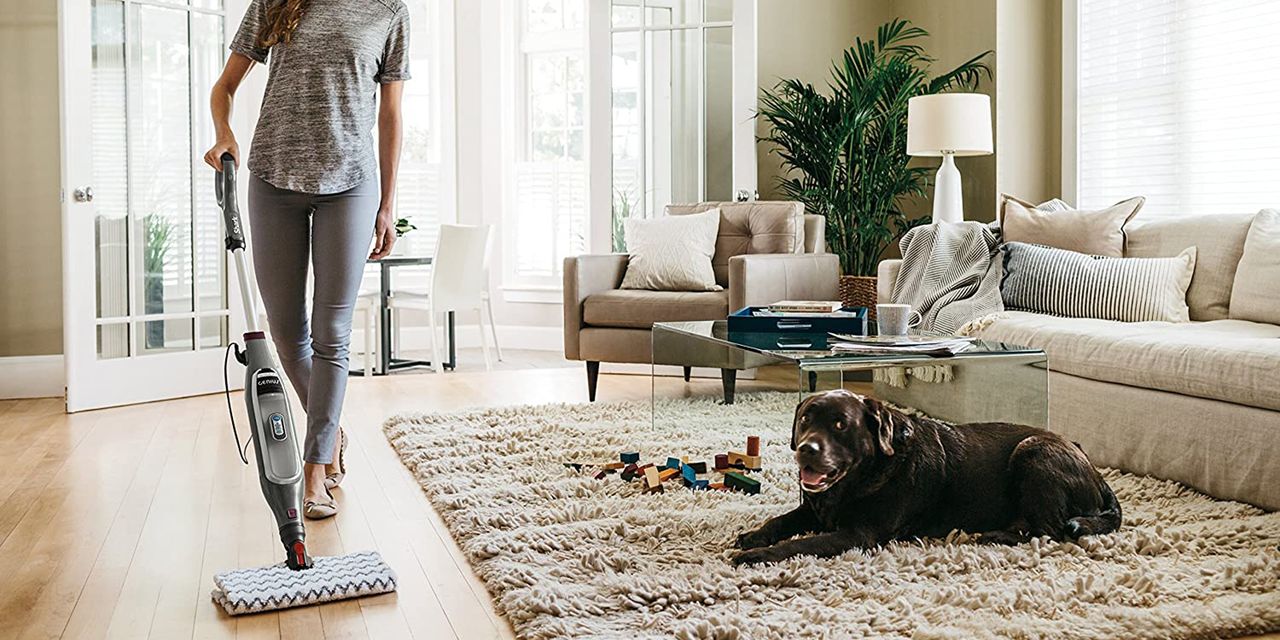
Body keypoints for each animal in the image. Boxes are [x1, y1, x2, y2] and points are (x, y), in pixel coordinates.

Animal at [732, 389, 1121, 565]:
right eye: (805, 420)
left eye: (840, 424)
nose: (806, 449)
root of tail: (1096, 472)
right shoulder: (814, 509)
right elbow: (781, 520)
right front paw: (754, 536)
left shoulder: (858, 534)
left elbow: (799, 545)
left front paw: (757, 555)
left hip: (1034, 450)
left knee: (1049, 530)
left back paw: (994, 537)